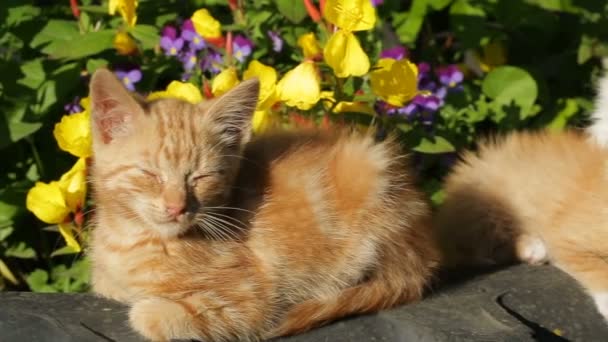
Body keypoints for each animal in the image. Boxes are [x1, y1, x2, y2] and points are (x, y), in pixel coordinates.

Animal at [88, 68, 440, 340]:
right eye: (150, 174)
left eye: (201, 177)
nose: (178, 208)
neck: (132, 239)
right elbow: (106, 284)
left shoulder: (250, 299)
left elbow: (147, 316)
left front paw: (148, 307)